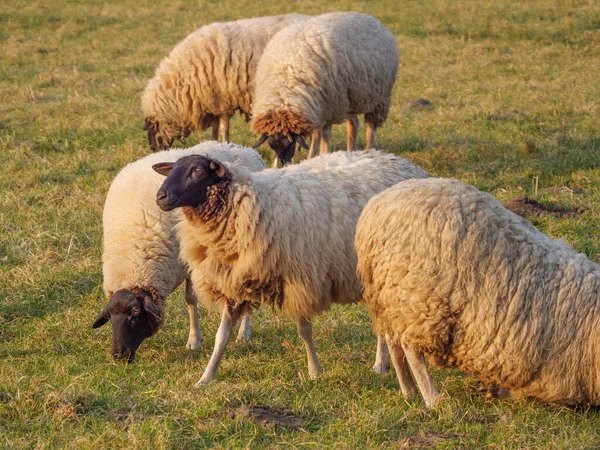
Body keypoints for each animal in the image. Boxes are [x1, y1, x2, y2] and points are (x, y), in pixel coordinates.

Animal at [92, 141, 264, 362]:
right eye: (110, 316)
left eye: (136, 313)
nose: (118, 356)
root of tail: (241, 147)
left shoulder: (187, 260)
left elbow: (191, 299)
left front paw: (194, 341)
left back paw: (244, 332)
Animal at [141, 14, 310, 152]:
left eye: (152, 130)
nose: (154, 151)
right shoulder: (214, 103)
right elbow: (215, 129)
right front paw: (213, 144)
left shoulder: (223, 102)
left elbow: (224, 129)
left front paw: (225, 145)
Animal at [152, 149, 428, 384]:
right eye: (173, 169)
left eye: (197, 171)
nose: (160, 196)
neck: (249, 203)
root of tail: (404, 162)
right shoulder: (233, 283)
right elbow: (222, 336)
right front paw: (206, 377)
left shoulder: (300, 278)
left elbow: (304, 331)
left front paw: (314, 371)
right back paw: (382, 362)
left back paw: (380, 364)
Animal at [354, 178, 600, 408]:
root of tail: (377, 207)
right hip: (418, 302)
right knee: (410, 349)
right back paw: (432, 398)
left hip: (392, 298)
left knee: (394, 343)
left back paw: (409, 392)